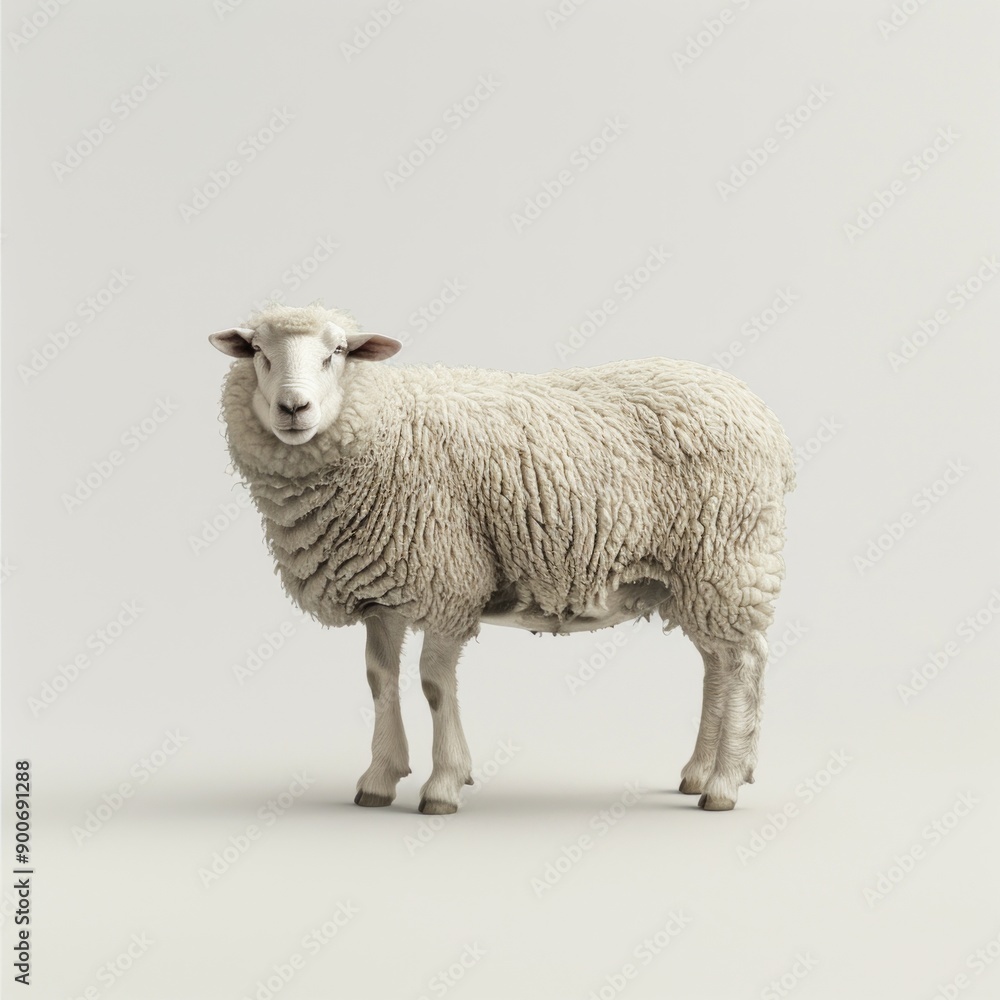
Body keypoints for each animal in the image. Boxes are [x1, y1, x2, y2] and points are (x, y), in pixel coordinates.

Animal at [209, 303, 795, 813]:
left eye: (337, 352)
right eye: (258, 351)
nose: (293, 408)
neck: (385, 427)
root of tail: (763, 416)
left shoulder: (450, 580)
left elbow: (433, 683)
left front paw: (444, 784)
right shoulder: (382, 591)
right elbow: (379, 680)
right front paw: (379, 778)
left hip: (728, 559)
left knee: (743, 662)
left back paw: (723, 784)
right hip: (694, 576)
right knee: (717, 663)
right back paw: (700, 771)